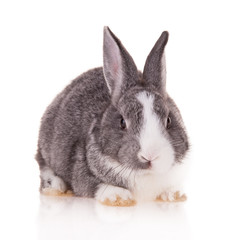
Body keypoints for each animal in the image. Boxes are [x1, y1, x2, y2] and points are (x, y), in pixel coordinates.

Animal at [35, 26, 190, 206]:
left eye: (169, 120)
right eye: (122, 122)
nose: (150, 156)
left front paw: (175, 194)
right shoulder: (82, 174)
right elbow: (98, 185)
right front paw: (119, 197)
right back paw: (56, 188)